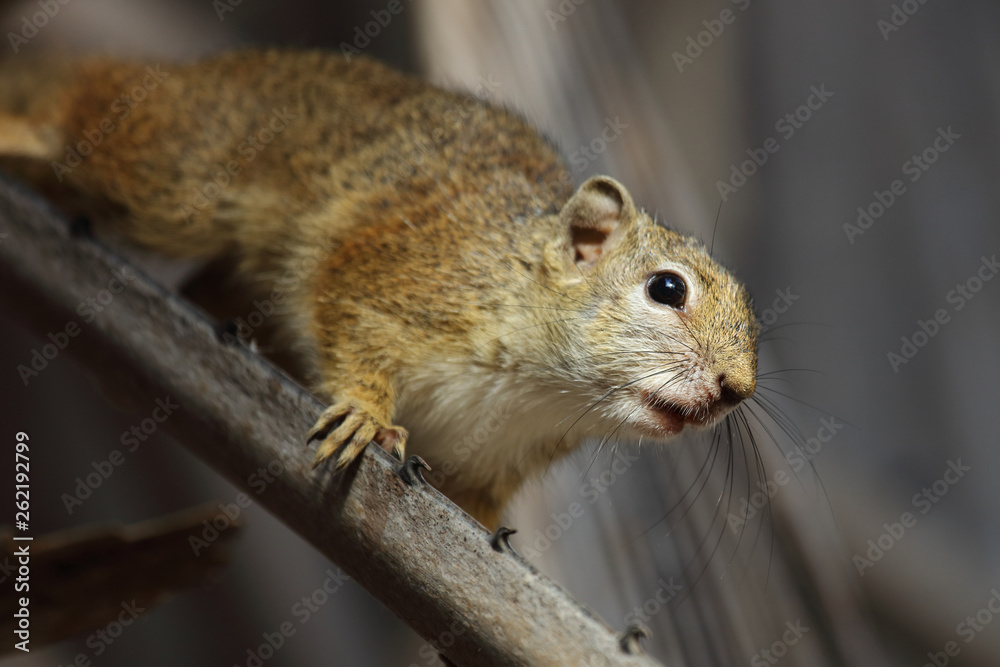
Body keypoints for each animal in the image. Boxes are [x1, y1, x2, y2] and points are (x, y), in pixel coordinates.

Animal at [0, 49, 759, 529]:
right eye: (667, 289)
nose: (737, 389)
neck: (545, 389)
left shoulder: (496, 463)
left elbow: (480, 509)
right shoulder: (395, 275)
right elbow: (347, 314)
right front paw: (366, 414)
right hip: (175, 172)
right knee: (85, 114)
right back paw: (24, 128)